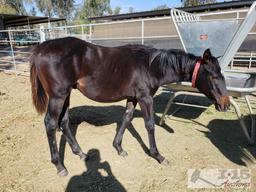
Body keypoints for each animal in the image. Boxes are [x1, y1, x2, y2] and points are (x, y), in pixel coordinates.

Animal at [30, 36, 230, 176]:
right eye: (213, 76)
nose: (225, 104)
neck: (151, 66)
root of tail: (40, 48)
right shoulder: (145, 98)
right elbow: (149, 125)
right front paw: (158, 156)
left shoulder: (133, 98)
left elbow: (126, 119)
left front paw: (119, 148)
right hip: (58, 96)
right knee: (51, 124)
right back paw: (60, 166)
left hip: (67, 94)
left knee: (64, 122)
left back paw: (81, 153)